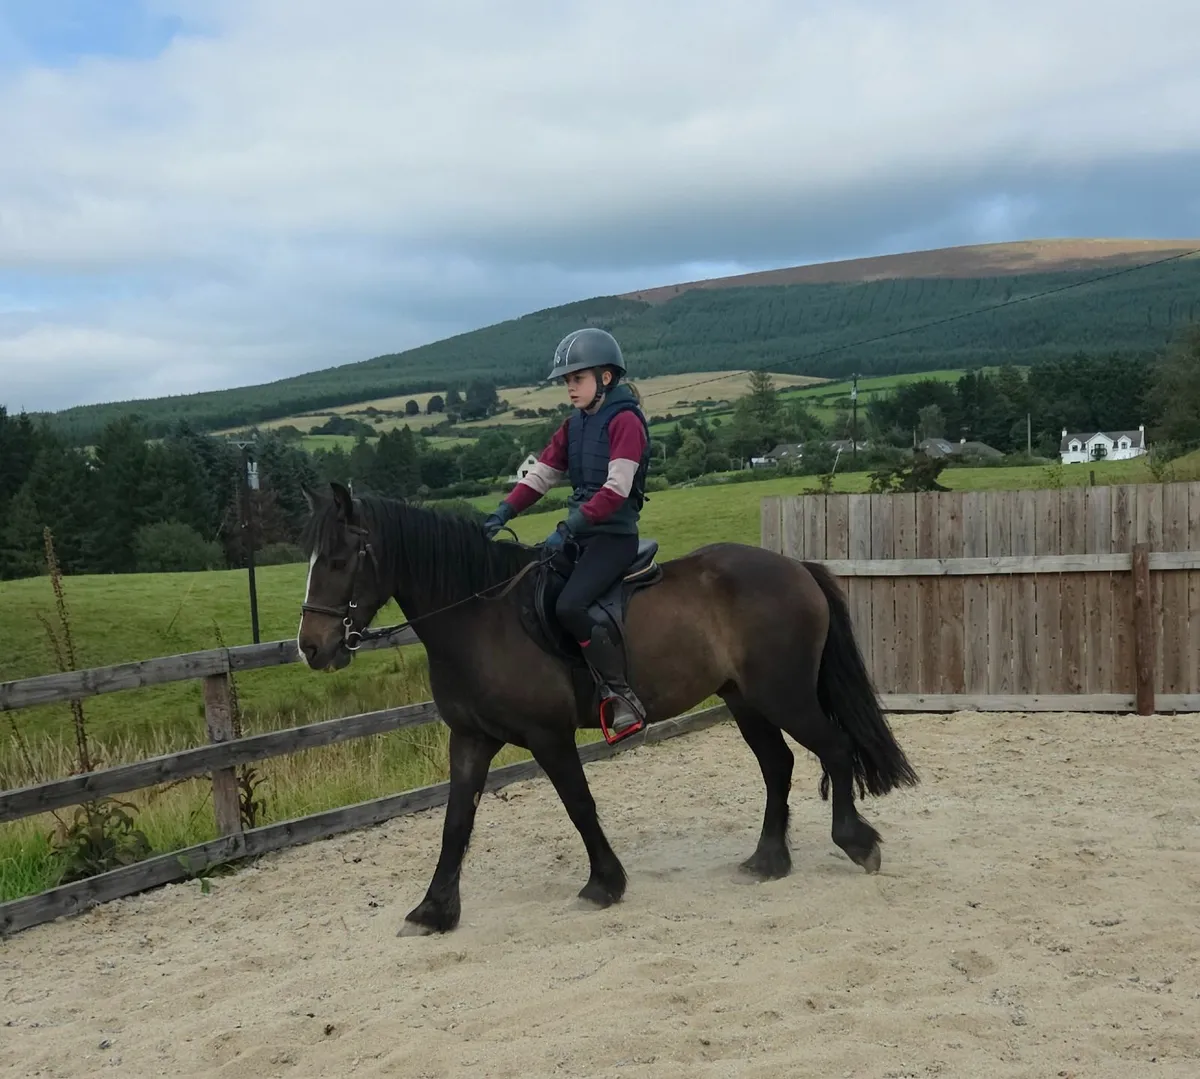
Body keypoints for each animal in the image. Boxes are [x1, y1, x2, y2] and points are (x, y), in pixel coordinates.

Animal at [296, 481, 919, 935]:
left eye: (340, 558)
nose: (312, 648)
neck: (481, 618)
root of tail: (795, 568)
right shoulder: (470, 739)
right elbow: (455, 824)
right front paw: (433, 911)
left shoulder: (547, 736)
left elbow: (579, 806)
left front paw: (603, 885)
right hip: (745, 699)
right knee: (778, 766)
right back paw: (767, 861)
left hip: (783, 694)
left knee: (833, 747)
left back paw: (856, 842)